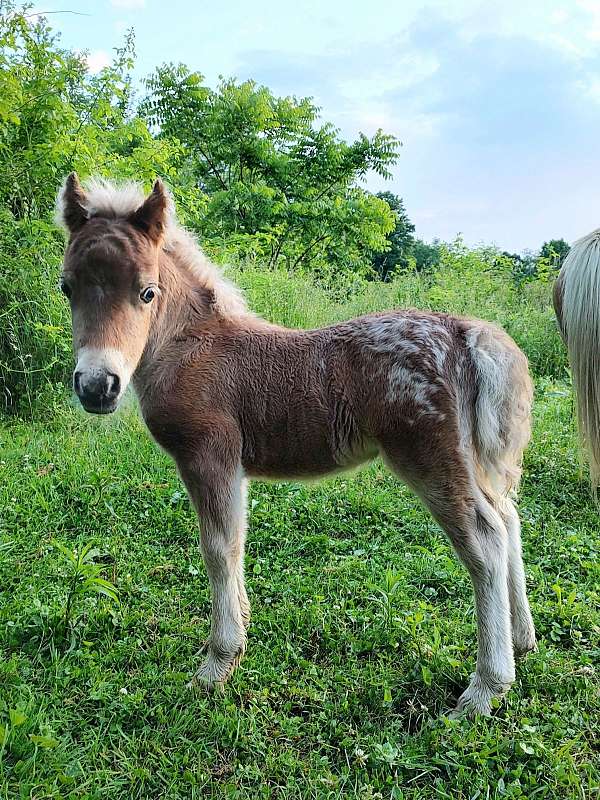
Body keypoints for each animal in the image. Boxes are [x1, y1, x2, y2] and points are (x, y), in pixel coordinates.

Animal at [56, 175, 536, 720]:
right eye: (67, 286)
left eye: (147, 292)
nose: (97, 386)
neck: (190, 348)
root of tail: (465, 333)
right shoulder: (231, 468)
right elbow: (236, 543)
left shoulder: (210, 456)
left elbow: (219, 548)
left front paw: (217, 665)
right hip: (476, 460)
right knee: (509, 520)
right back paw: (522, 641)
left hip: (432, 459)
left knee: (485, 542)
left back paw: (485, 689)